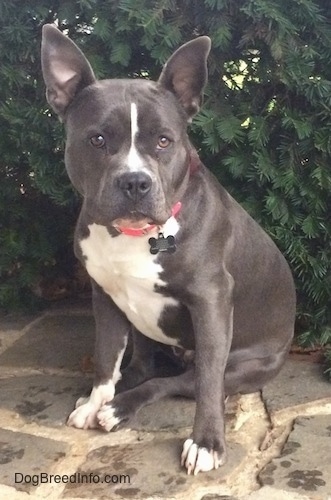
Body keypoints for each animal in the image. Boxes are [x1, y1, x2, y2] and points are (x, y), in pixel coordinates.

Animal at [40, 24, 296, 476]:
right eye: (97, 139)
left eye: (164, 141)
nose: (135, 181)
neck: (133, 235)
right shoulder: (103, 296)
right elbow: (106, 357)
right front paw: (96, 398)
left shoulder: (211, 302)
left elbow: (207, 381)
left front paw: (207, 442)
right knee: (142, 365)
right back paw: (111, 398)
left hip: (246, 365)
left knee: (180, 381)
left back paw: (120, 408)